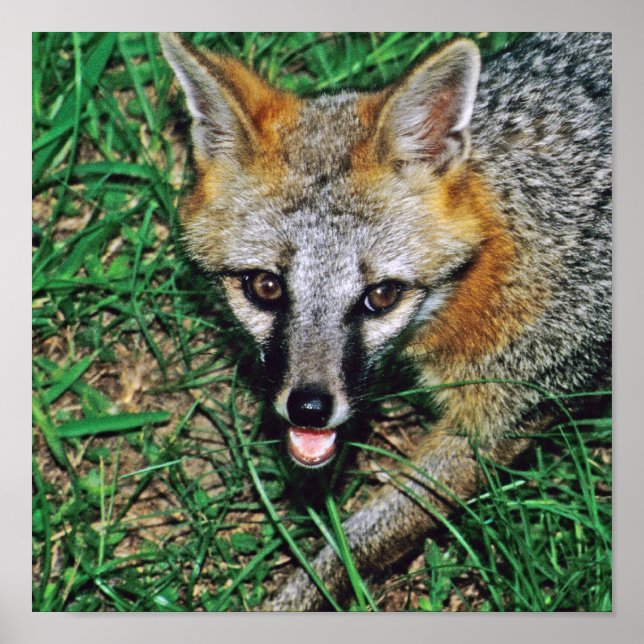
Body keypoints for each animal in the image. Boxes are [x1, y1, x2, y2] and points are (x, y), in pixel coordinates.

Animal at [159, 32, 612, 610]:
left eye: (382, 295)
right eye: (265, 287)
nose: (309, 409)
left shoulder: (497, 420)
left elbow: (361, 541)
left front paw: (290, 602)